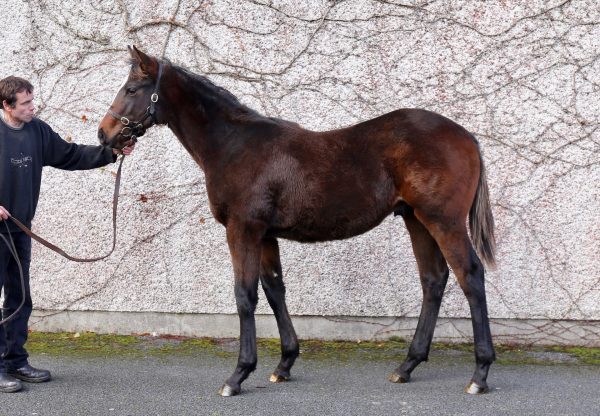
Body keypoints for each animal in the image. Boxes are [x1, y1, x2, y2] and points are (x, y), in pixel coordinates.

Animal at [97, 45, 496, 396]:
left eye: (131, 89)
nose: (104, 134)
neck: (233, 145)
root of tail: (467, 137)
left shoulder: (243, 229)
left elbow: (245, 295)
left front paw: (238, 375)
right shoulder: (266, 235)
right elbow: (275, 290)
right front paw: (284, 364)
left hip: (443, 221)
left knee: (470, 276)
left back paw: (479, 374)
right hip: (416, 219)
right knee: (434, 280)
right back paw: (407, 366)